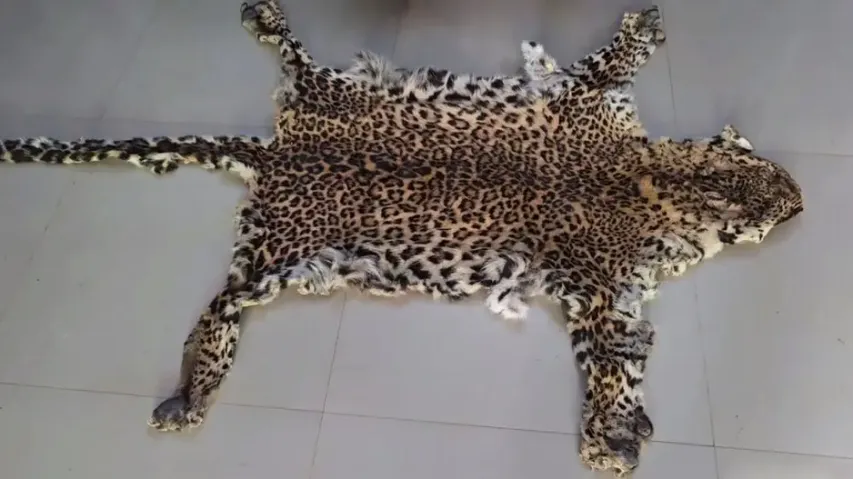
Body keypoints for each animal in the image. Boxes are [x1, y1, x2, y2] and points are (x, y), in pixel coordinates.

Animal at [0, 2, 803, 476]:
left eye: (772, 179)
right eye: (770, 210)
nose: (800, 202)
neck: (659, 181)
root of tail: (275, 151)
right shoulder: (600, 279)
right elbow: (612, 365)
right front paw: (611, 438)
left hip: (302, 174)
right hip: (282, 242)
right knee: (224, 302)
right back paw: (190, 395)